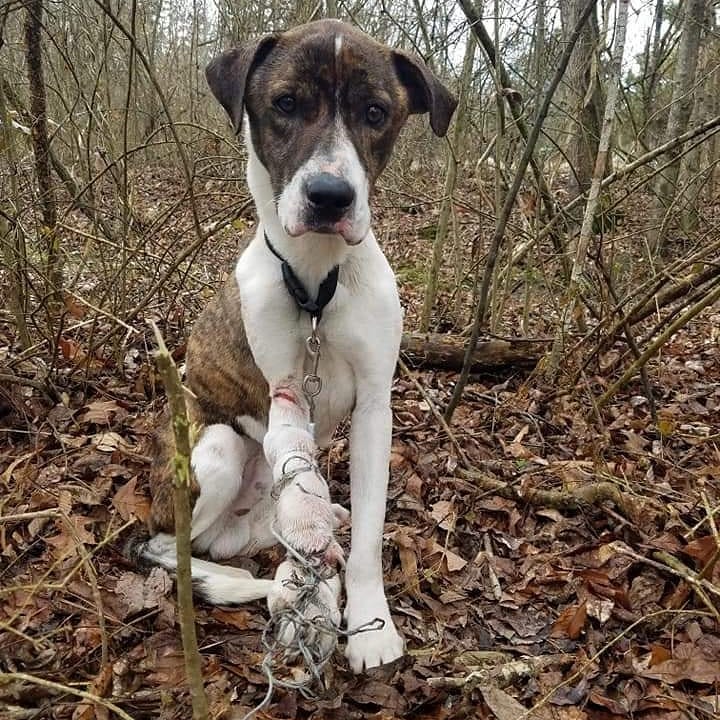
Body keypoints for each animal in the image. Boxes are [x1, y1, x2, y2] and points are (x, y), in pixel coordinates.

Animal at [140, 16, 456, 672]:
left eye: (375, 111)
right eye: (285, 104)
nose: (330, 196)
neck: (316, 284)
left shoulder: (374, 409)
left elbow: (366, 537)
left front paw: (369, 626)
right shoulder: (286, 392)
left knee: (238, 537)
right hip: (210, 447)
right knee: (173, 543)